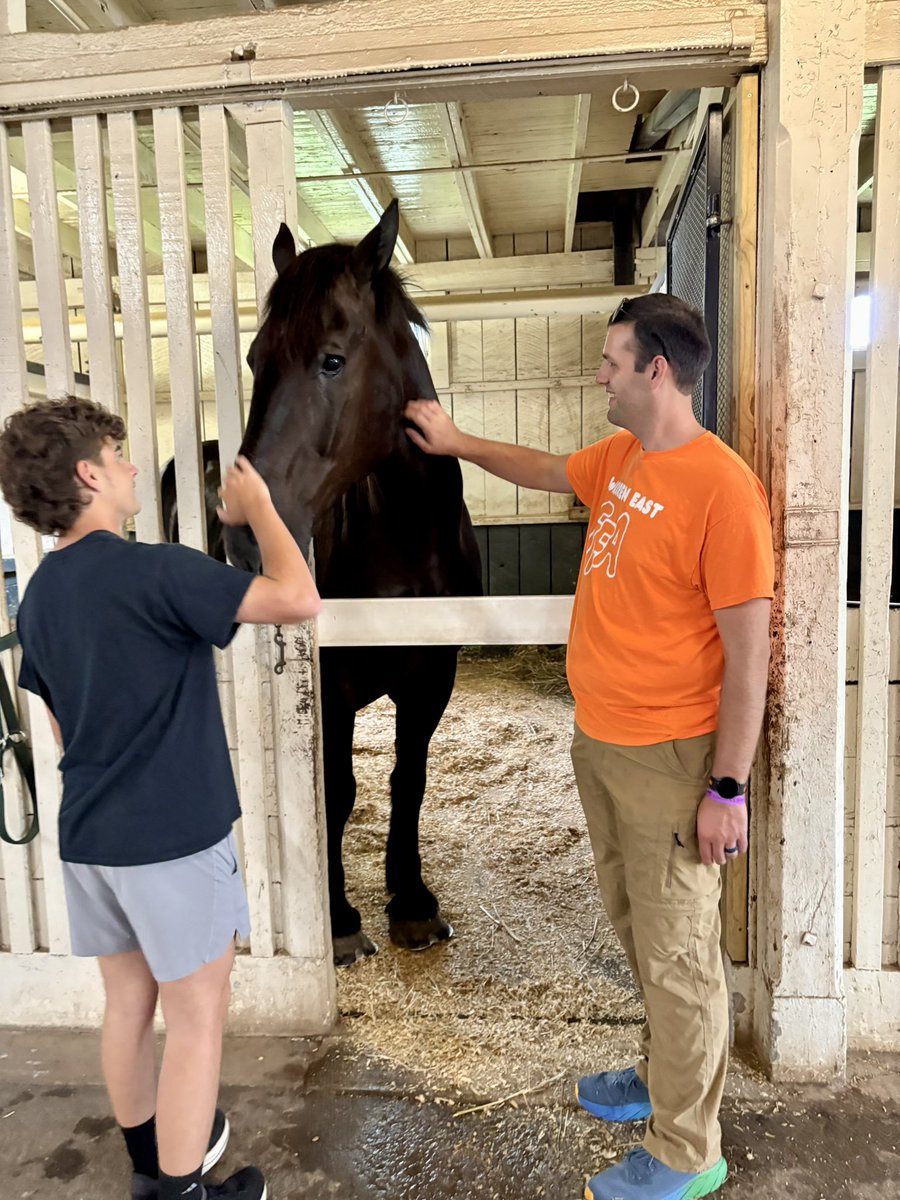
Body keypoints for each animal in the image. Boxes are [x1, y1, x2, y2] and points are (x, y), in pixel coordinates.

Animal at [163, 200, 483, 966]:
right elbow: (334, 789)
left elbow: (407, 777)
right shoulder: (330, 688)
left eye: (332, 360)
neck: (404, 547)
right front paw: (337, 918)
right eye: (257, 359)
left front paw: (411, 901)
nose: (244, 534)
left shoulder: (432, 679)